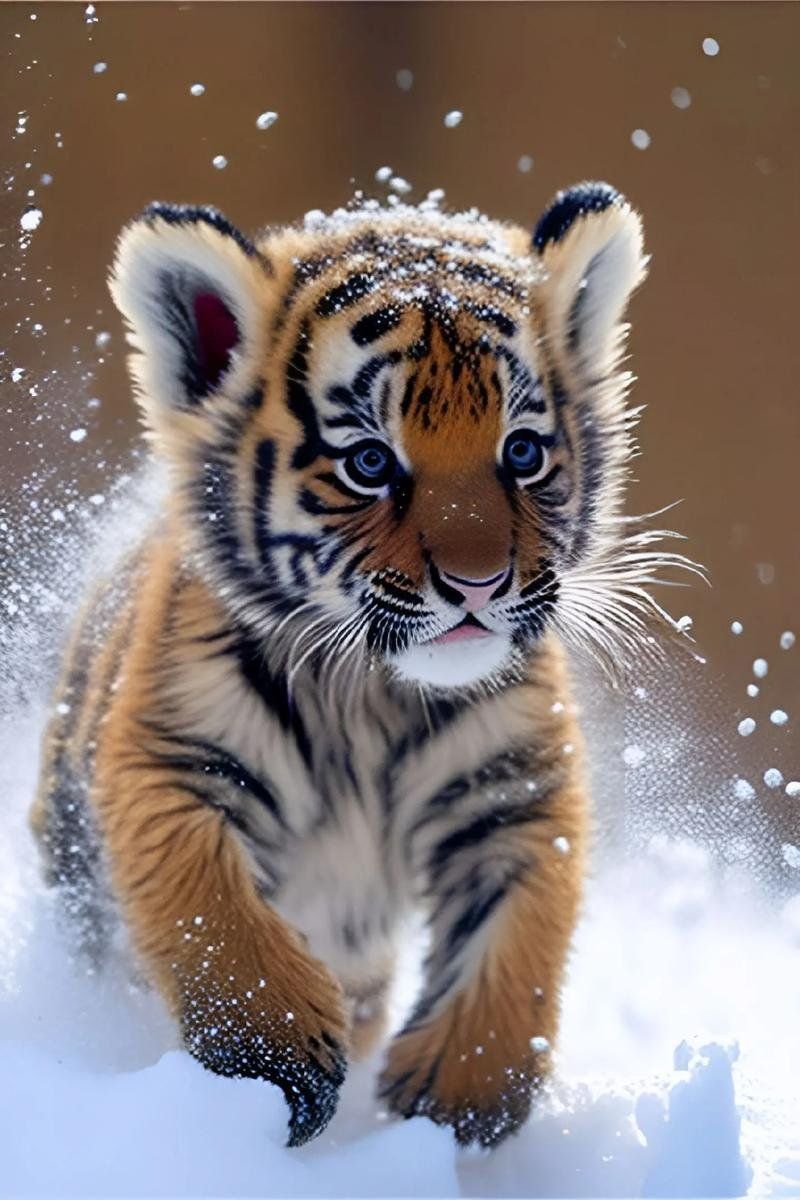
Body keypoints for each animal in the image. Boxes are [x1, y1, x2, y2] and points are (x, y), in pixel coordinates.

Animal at [30, 182, 694, 1149]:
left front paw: (456, 1096)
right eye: (371, 463)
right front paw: (276, 1063)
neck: (373, 694)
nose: (478, 586)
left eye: (522, 452)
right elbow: (212, 909)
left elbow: (522, 929)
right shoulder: (171, 761)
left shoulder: (513, 790)